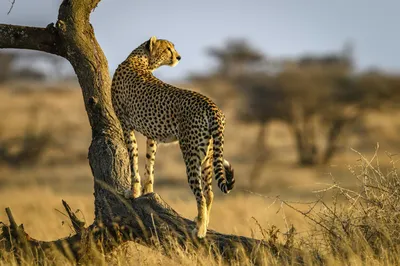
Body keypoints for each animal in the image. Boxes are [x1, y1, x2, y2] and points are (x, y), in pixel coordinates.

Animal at [110, 36, 234, 238]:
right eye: (168, 48)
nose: (178, 57)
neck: (139, 59)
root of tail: (211, 105)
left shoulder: (126, 124)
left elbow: (133, 158)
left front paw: (133, 191)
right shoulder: (151, 134)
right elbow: (149, 163)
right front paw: (148, 191)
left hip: (191, 154)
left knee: (200, 194)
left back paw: (199, 229)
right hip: (208, 155)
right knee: (209, 193)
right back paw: (204, 223)